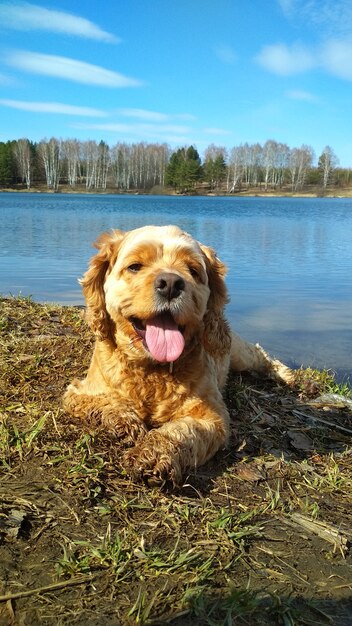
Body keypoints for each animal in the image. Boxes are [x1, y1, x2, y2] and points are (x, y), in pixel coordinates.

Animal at [64, 222, 294, 486]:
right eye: (134, 266)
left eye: (193, 270)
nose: (171, 283)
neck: (152, 370)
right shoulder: (81, 392)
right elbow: (107, 403)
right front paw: (126, 423)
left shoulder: (211, 416)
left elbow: (183, 431)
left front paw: (151, 454)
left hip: (237, 353)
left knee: (259, 353)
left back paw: (286, 375)